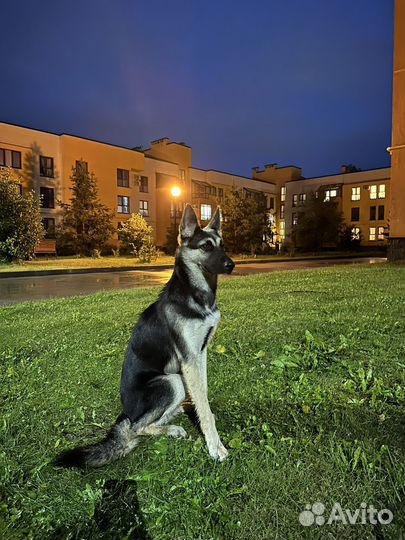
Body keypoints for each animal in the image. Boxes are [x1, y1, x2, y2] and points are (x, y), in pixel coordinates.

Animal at [55, 205, 235, 466]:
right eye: (206, 247)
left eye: (222, 245)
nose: (232, 265)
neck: (193, 294)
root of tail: (126, 413)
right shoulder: (190, 359)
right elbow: (202, 401)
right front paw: (215, 445)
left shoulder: (200, 355)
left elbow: (203, 396)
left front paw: (204, 418)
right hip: (171, 381)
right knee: (136, 427)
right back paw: (167, 427)